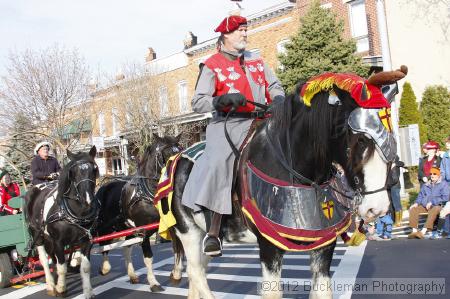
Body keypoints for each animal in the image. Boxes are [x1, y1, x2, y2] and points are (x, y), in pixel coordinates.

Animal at [25, 146, 98, 298]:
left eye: (94, 169)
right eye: (73, 172)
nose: (88, 199)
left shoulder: (86, 241)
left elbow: (85, 267)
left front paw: (88, 292)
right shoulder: (58, 242)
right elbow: (62, 267)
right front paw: (61, 288)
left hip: (49, 239)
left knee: (53, 259)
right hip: (38, 235)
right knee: (45, 260)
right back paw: (51, 285)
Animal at [96, 135, 184, 292]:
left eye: (180, 150)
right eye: (167, 153)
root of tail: (103, 186)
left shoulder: (170, 226)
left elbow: (177, 248)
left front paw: (176, 273)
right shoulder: (144, 231)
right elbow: (148, 257)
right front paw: (154, 282)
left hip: (127, 227)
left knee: (126, 247)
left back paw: (132, 275)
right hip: (106, 227)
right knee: (103, 244)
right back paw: (103, 267)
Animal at [167, 68, 406, 299]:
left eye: (390, 139)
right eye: (361, 139)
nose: (378, 208)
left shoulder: (324, 244)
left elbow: (323, 291)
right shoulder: (269, 246)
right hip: (189, 232)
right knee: (195, 272)